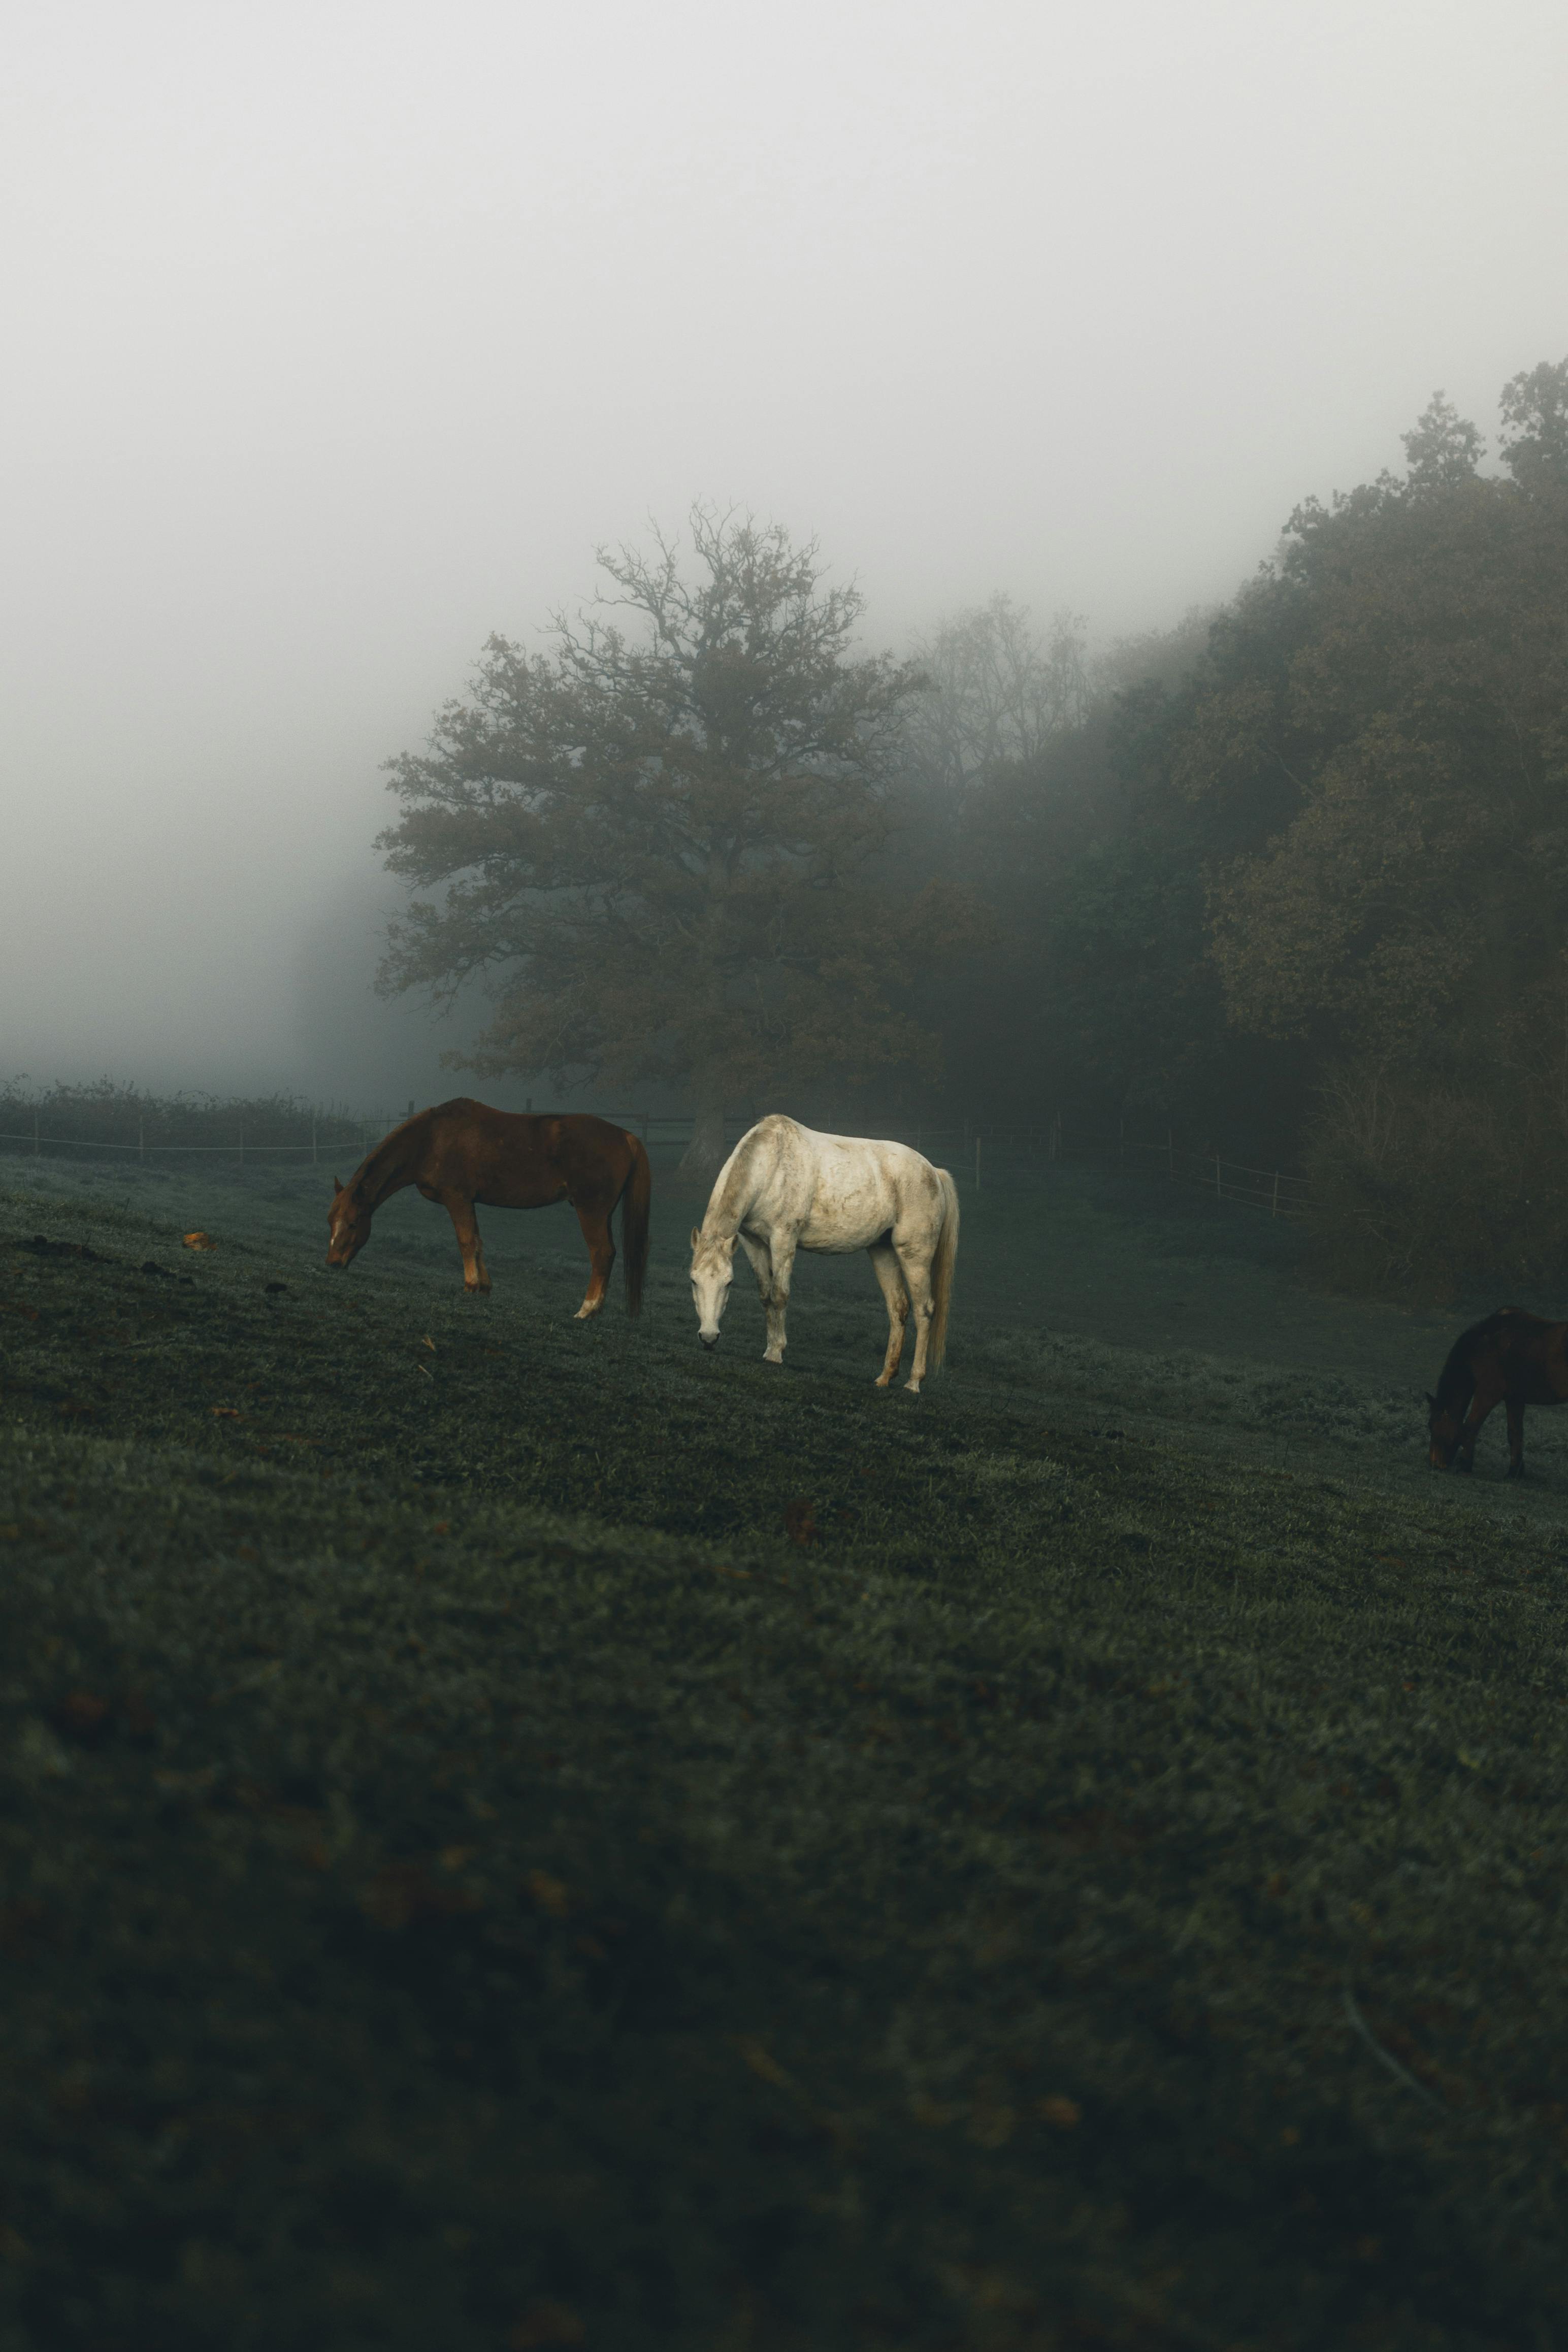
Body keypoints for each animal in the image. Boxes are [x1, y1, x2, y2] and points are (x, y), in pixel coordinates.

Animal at [324, 1096, 648, 1317]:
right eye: (330, 1222)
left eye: (353, 1223)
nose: (333, 1263)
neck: (432, 1139)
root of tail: (626, 1136)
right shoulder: (469, 1201)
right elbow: (478, 1242)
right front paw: (484, 1287)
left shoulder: (457, 1198)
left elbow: (466, 1241)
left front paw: (471, 1285)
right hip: (604, 1214)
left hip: (591, 1211)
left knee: (602, 1254)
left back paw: (587, 1310)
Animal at [691, 1110, 964, 1383]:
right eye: (693, 1281)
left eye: (729, 1283)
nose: (708, 1338)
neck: (772, 1166)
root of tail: (934, 1172)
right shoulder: (754, 1243)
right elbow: (766, 1296)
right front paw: (769, 1349)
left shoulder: (783, 1240)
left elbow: (780, 1295)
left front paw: (776, 1354)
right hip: (883, 1251)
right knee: (898, 1308)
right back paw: (885, 1378)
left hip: (915, 1254)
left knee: (924, 1310)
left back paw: (914, 1382)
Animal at [1420, 1308, 1568, 1467]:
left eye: (1433, 1425)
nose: (1435, 1464)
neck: (1483, 1343)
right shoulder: (1514, 1399)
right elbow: (1515, 1435)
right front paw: (1514, 1470)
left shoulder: (1488, 1393)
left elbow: (1470, 1428)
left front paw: (1465, 1465)